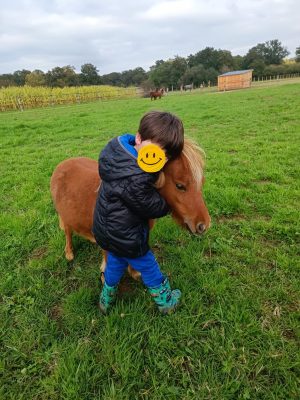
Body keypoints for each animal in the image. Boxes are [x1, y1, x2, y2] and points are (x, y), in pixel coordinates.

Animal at [50, 139, 211, 276]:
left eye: (202, 182)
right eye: (180, 186)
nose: (204, 225)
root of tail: (62, 164)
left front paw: (134, 272)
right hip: (64, 216)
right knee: (68, 232)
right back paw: (69, 253)